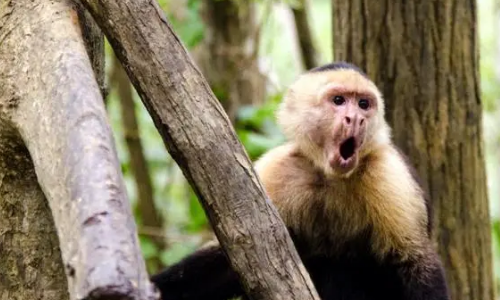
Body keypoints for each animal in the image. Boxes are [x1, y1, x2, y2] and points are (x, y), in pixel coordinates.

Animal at [150, 61, 452, 300]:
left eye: (364, 104)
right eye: (339, 100)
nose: (356, 119)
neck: (328, 175)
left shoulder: (388, 174)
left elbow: (414, 261)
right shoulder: (276, 171)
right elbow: (234, 257)